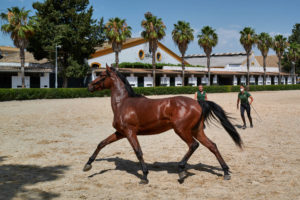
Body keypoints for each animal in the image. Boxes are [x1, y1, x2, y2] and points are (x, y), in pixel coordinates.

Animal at [83, 65, 243, 184]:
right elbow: (101, 143)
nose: (89, 86)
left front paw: (145, 176)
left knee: (194, 145)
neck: (123, 103)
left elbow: (138, 152)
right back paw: (226, 172)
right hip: (197, 131)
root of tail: (198, 102)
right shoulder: (121, 133)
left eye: (101, 75)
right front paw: (88, 165)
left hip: (181, 130)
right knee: (212, 146)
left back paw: (181, 170)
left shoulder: (129, 132)